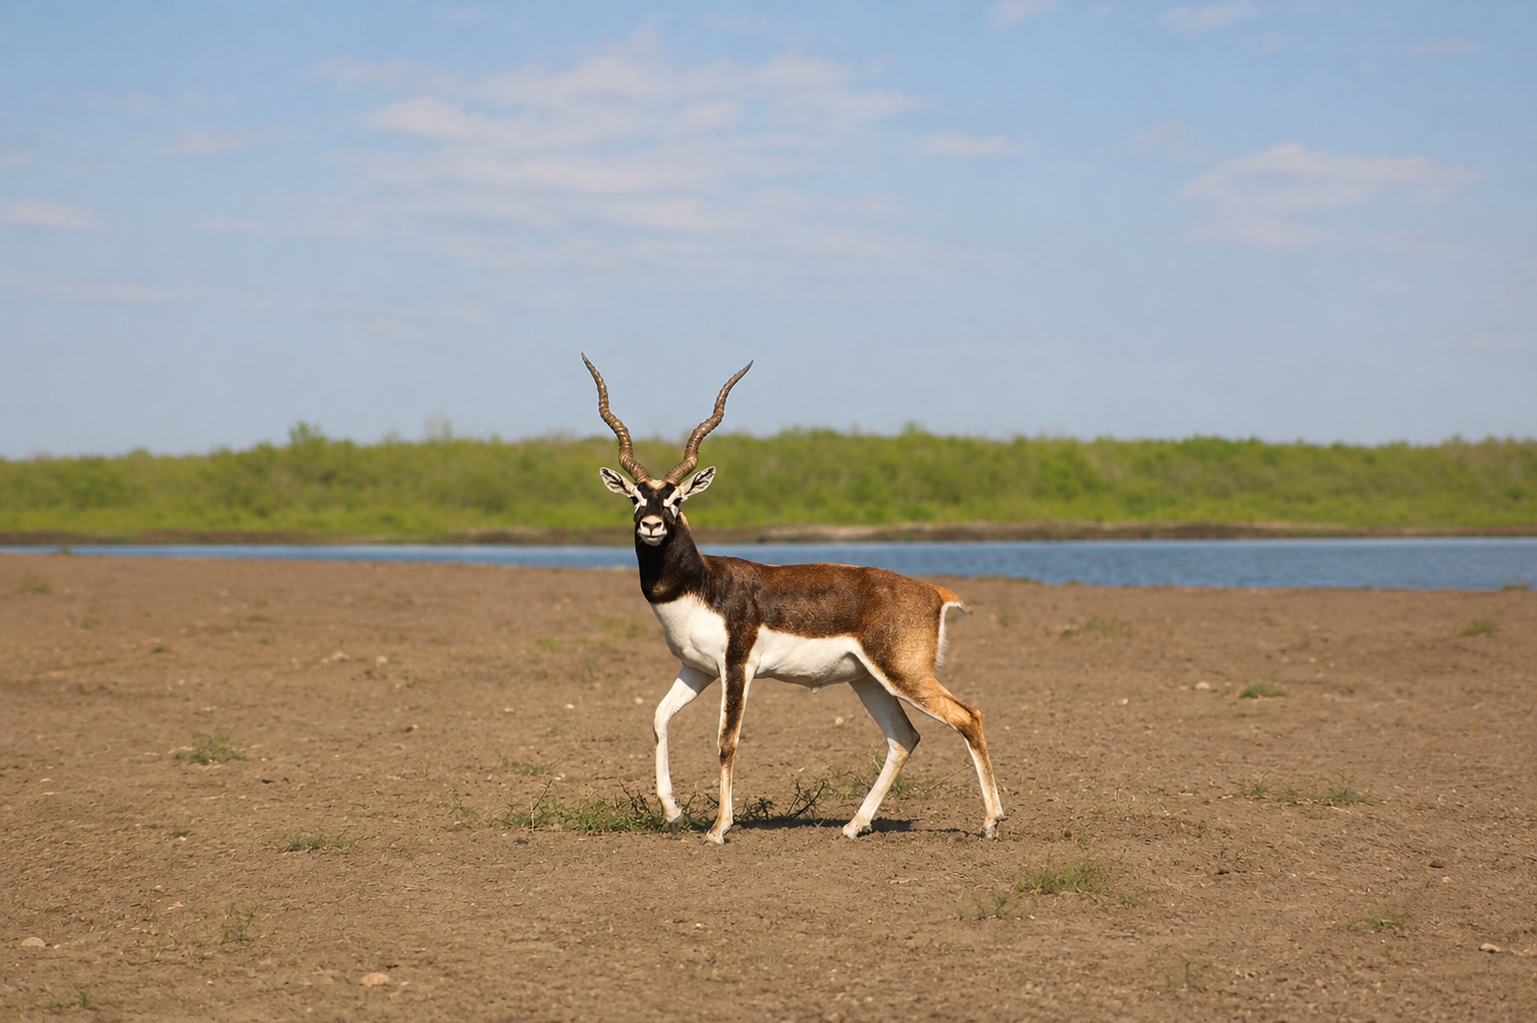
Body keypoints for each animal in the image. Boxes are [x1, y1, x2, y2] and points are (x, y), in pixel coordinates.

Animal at [583, 355, 1005, 844]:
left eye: (677, 498)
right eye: (635, 496)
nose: (651, 525)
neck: (703, 584)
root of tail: (934, 592)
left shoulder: (737, 669)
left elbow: (726, 741)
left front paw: (719, 829)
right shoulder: (697, 669)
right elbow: (658, 718)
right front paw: (673, 814)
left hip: (905, 674)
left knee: (968, 717)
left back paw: (991, 822)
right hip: (869, 680)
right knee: (904, 737)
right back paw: (853, 826)